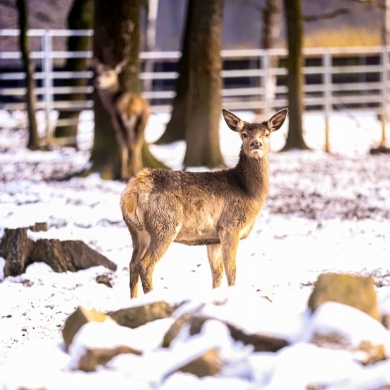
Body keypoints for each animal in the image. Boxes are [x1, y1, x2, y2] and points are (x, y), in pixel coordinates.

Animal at [120, 108, 288, 298]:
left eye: (267, 134)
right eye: (244, 134)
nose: (256, 144)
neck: (248, 191)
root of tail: (132, 192)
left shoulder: (213, 238)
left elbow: (217, 272)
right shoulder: (230, 226)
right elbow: (231, 269)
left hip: (136, 231)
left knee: (132, 264)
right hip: (164, 225)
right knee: (145, 265)